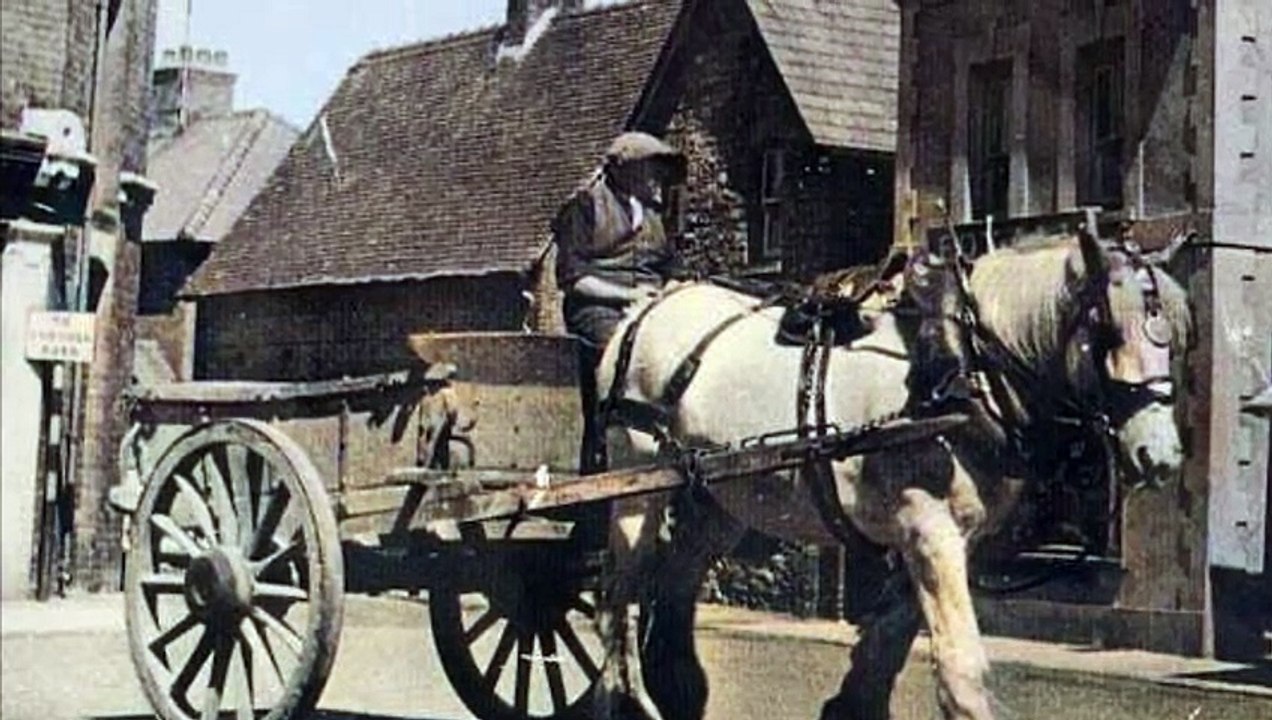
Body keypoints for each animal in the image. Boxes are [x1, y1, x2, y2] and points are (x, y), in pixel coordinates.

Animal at [588, 228, 1192, 720]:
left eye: (1176, 341)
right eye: (1106, 331)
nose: (1159, 455)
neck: (959, 369)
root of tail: (648, 305)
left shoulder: (931, 539)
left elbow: (886, 643)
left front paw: (849, 704)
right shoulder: (930, 531)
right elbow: (960, 664)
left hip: (717, 502)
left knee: (674, 590)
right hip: (636, 479)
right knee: (621, 595)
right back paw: (625, 699)